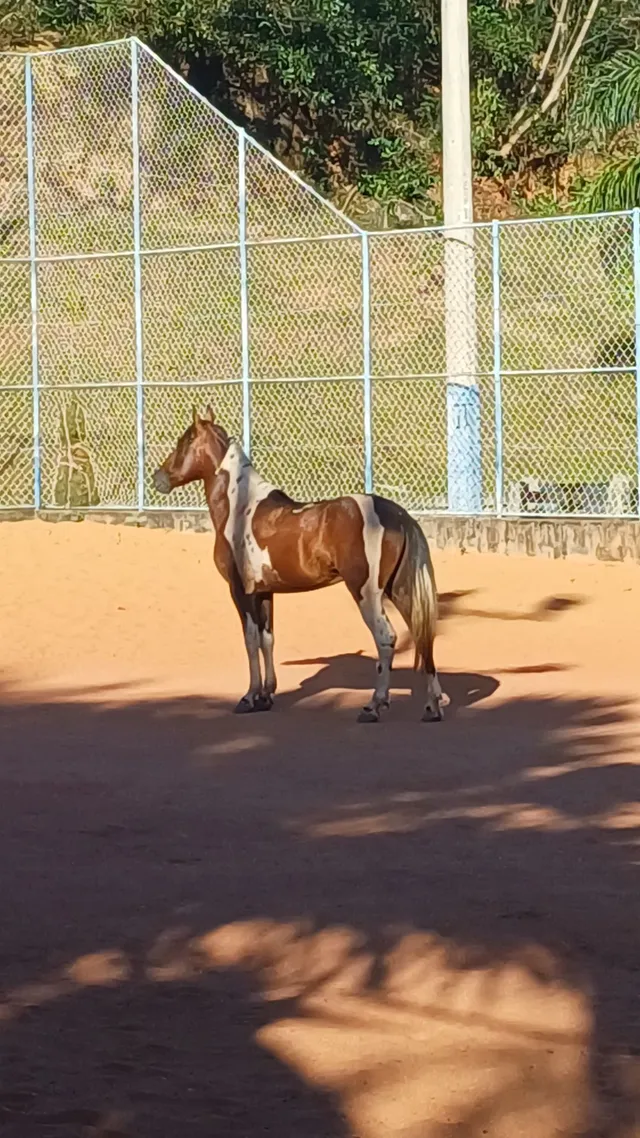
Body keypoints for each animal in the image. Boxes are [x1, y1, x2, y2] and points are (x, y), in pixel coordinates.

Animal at [153, 407, 444, 723]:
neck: (241, 507)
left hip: (367, 593)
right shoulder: (264, 593)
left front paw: (248, 698)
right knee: (423, 635)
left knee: (386, 638)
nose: (158, 478)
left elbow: (250, 639)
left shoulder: (241, 591)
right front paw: (266, 696)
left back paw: (373, 707)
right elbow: (267, 639)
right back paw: (432, 708)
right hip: (399, 589)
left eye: (185, 441)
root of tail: (398, 514)